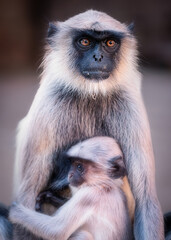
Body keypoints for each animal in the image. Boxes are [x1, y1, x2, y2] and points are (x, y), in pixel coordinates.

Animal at [11, 9, 163, 240]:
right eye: (84, 41)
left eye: (110, 42)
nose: (98, 57)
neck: (91, 94)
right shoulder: (50, 105)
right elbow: (28, 194)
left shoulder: (129, 105)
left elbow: (146, 197)